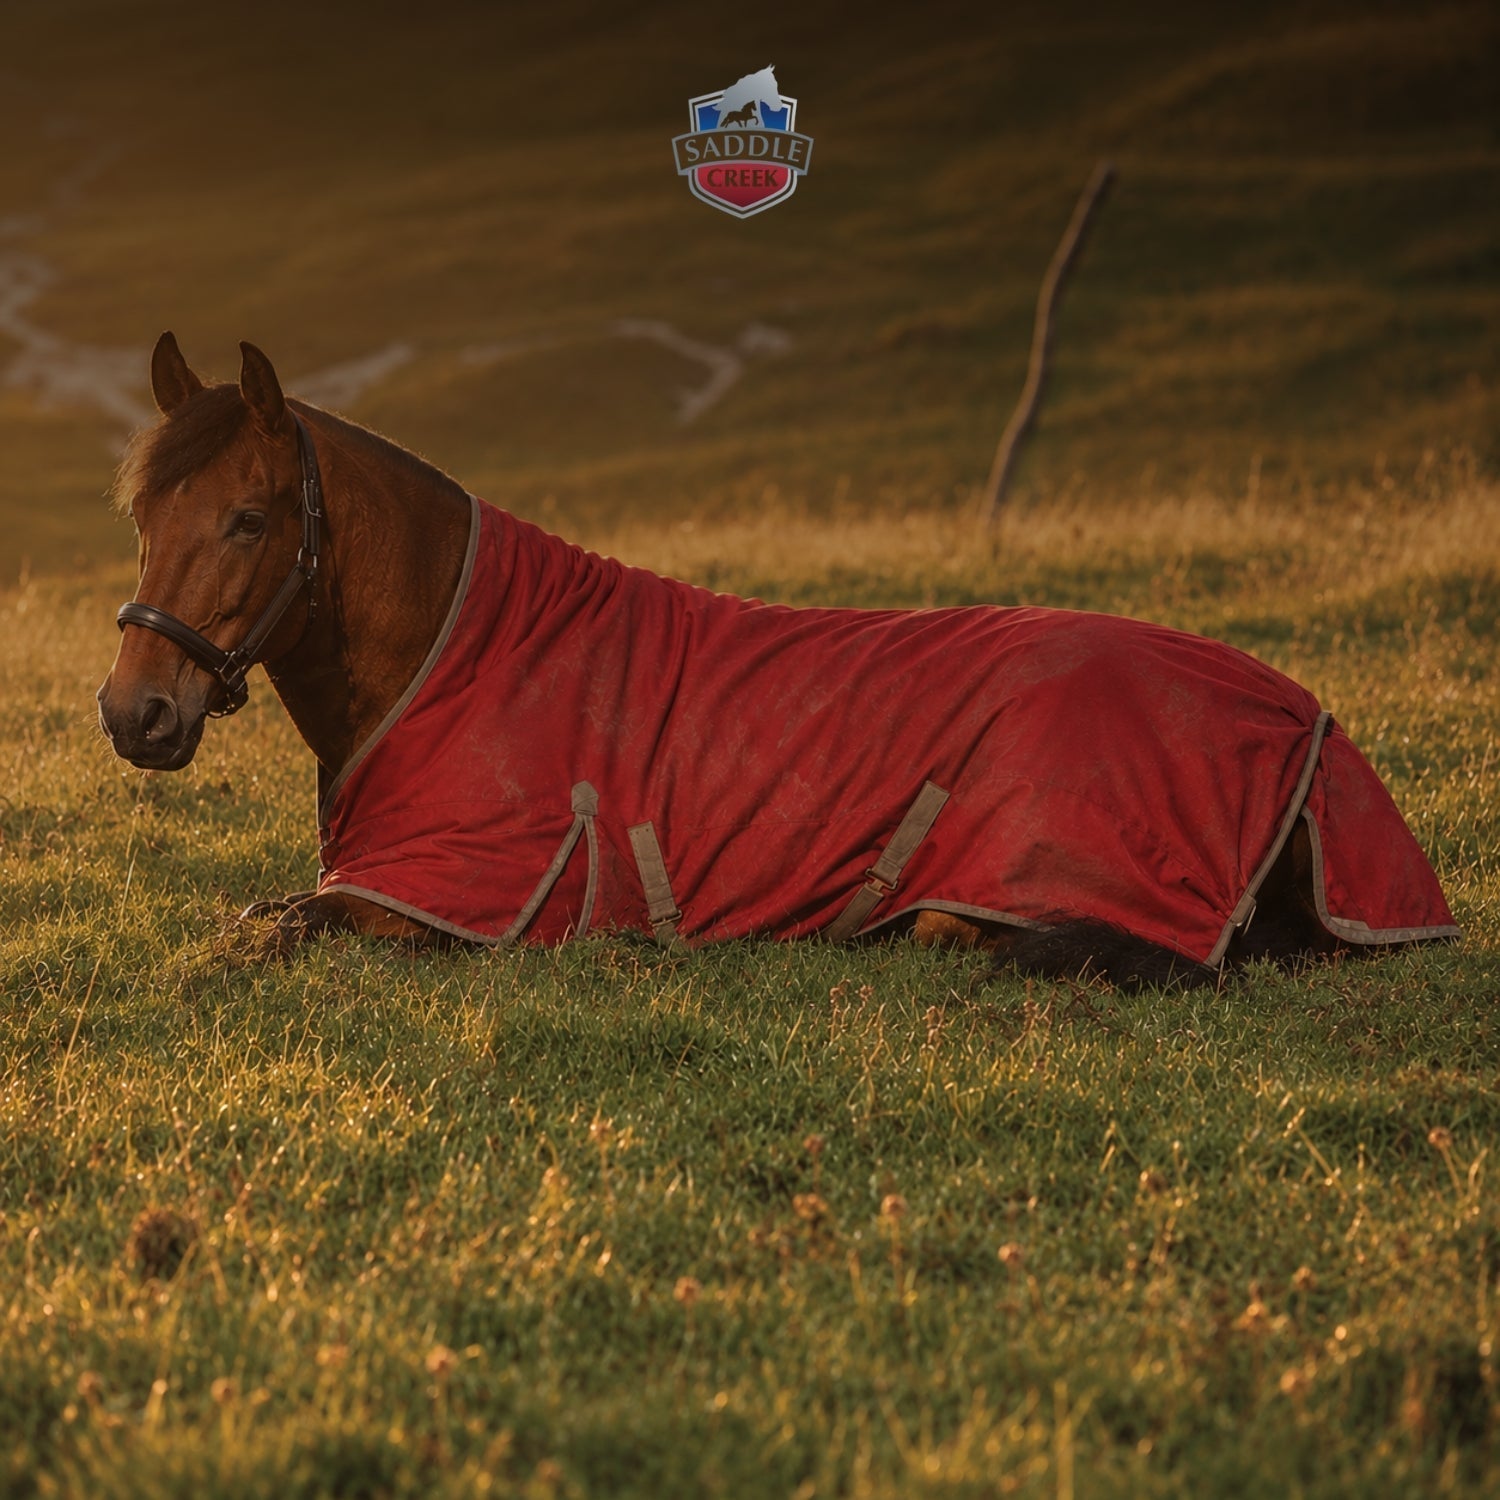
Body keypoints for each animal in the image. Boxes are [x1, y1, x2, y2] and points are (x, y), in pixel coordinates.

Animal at [97, 334, 1459, 986]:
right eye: (140, 512)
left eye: (251, 519)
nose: (133, 713)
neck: (454, 649)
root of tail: (1306, 723)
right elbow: (250, 915)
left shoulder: (430, 906)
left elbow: (262, 936)